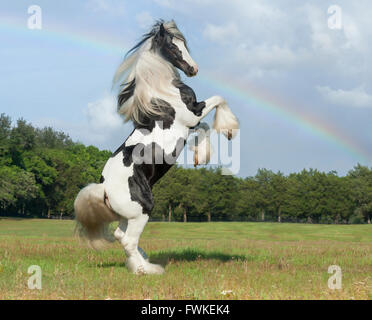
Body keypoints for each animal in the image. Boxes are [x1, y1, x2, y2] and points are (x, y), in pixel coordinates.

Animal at [74, 20, 240, 276]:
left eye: (184, 43)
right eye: (172, 46)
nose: (193, 69)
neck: (163, 94)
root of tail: (103, 189)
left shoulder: (191, 123)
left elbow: (204, 127)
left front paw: (201, 156)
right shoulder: (193, 113)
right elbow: (219, 99)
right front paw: (229, 128)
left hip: (129, 215)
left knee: (121, 235)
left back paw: (143, 263)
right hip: (143, 209)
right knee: (128, 240)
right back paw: (147, 271)